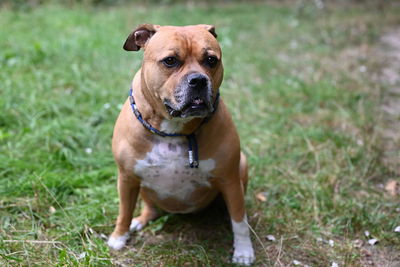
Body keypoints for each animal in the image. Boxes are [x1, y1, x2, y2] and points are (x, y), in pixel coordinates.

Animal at [108, 23, 255, 266]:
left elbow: (239, 219)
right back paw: (140, 220)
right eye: (170, 61)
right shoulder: (126, 178)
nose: (198, 80)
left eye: (211, 60)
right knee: (149, 206)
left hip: (241, 167)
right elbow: (124, 211)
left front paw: (244, 251)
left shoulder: (230, 180)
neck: (173, 130)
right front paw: (119, 236)